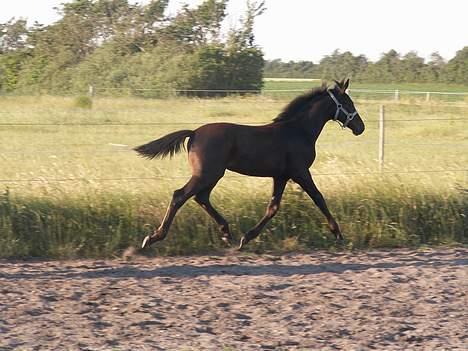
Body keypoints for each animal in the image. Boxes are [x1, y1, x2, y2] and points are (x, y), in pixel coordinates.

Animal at [135, 80, 366, 250]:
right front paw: (338, 233)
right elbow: (319, 198)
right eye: (348, 104)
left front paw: (246, 238)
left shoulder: (281, 176)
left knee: (201, 198)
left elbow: (273, 207)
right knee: (180, 195)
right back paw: (153, 237)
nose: (360, 127)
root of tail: (194, 133)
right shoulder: (300, 171)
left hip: (212, 174)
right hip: (207, 174)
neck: (298, 130)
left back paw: (226, 232)